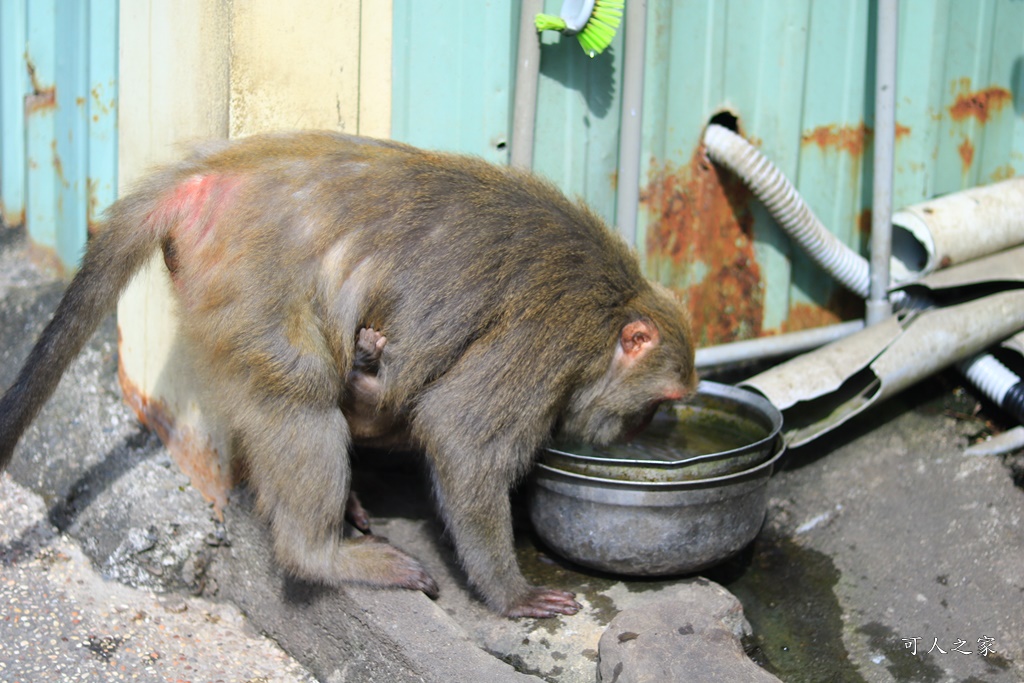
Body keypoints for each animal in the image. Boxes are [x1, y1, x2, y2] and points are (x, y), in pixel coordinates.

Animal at [0, 131, 696, 618]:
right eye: (656, 403)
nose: (637, 433)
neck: (612, 310)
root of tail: (209, 172)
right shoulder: (547, 343)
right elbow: (459, 437)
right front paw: (510, 593)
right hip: (252, 284)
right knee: (301, 393)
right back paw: (321, 554)